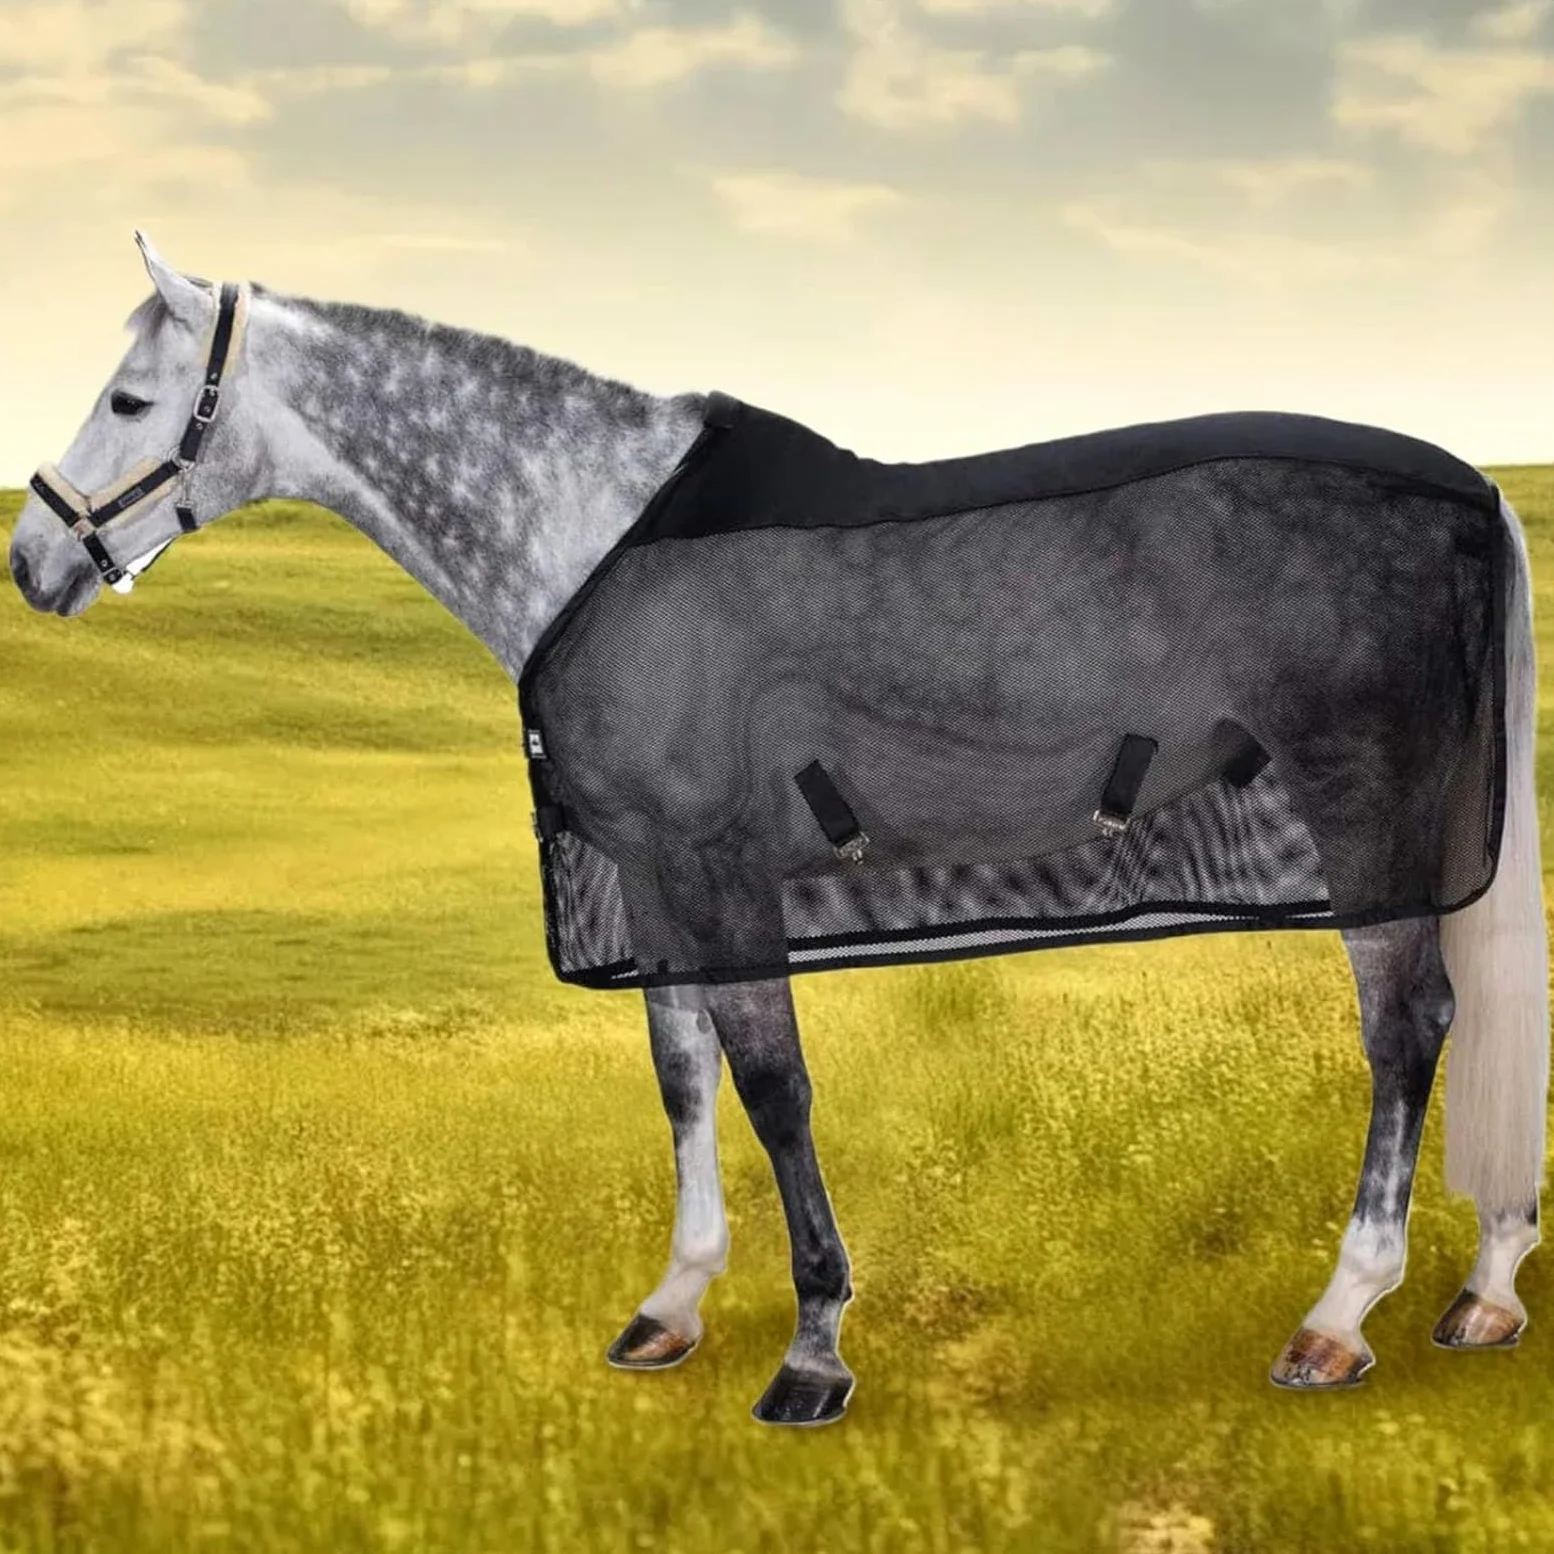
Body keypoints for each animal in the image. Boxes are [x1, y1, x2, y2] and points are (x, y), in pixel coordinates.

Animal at [8, 233, 1547, 1428]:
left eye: (132, 395)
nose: (32, 561)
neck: (595, 537)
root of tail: (1469, 488)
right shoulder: (653, 879)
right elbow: (682, 1077)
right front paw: (673, 1304)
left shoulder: (718, 867)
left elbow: (772, 1088)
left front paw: (812, 1351)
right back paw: (1481, 1291)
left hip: (1364, 804)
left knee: (1407, 1024)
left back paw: (1340, 1314)